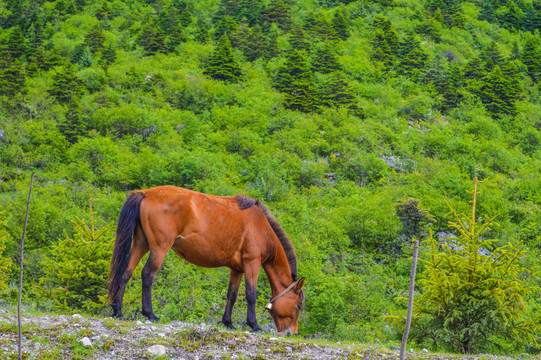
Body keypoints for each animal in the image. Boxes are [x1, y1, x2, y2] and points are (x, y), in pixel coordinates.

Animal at [105, 187, 304, 336]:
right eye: (299, 306)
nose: (292, 333)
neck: (260, 226)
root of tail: (146, 193)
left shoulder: (237, 269)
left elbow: (232, 295)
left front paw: (228, 322)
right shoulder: (252, 263)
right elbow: (251, 295)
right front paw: (254, 325)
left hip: (141, 244)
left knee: (126, 273)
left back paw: (118, 311)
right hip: (159, 248)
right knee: (147, 275)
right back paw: (150, 314)